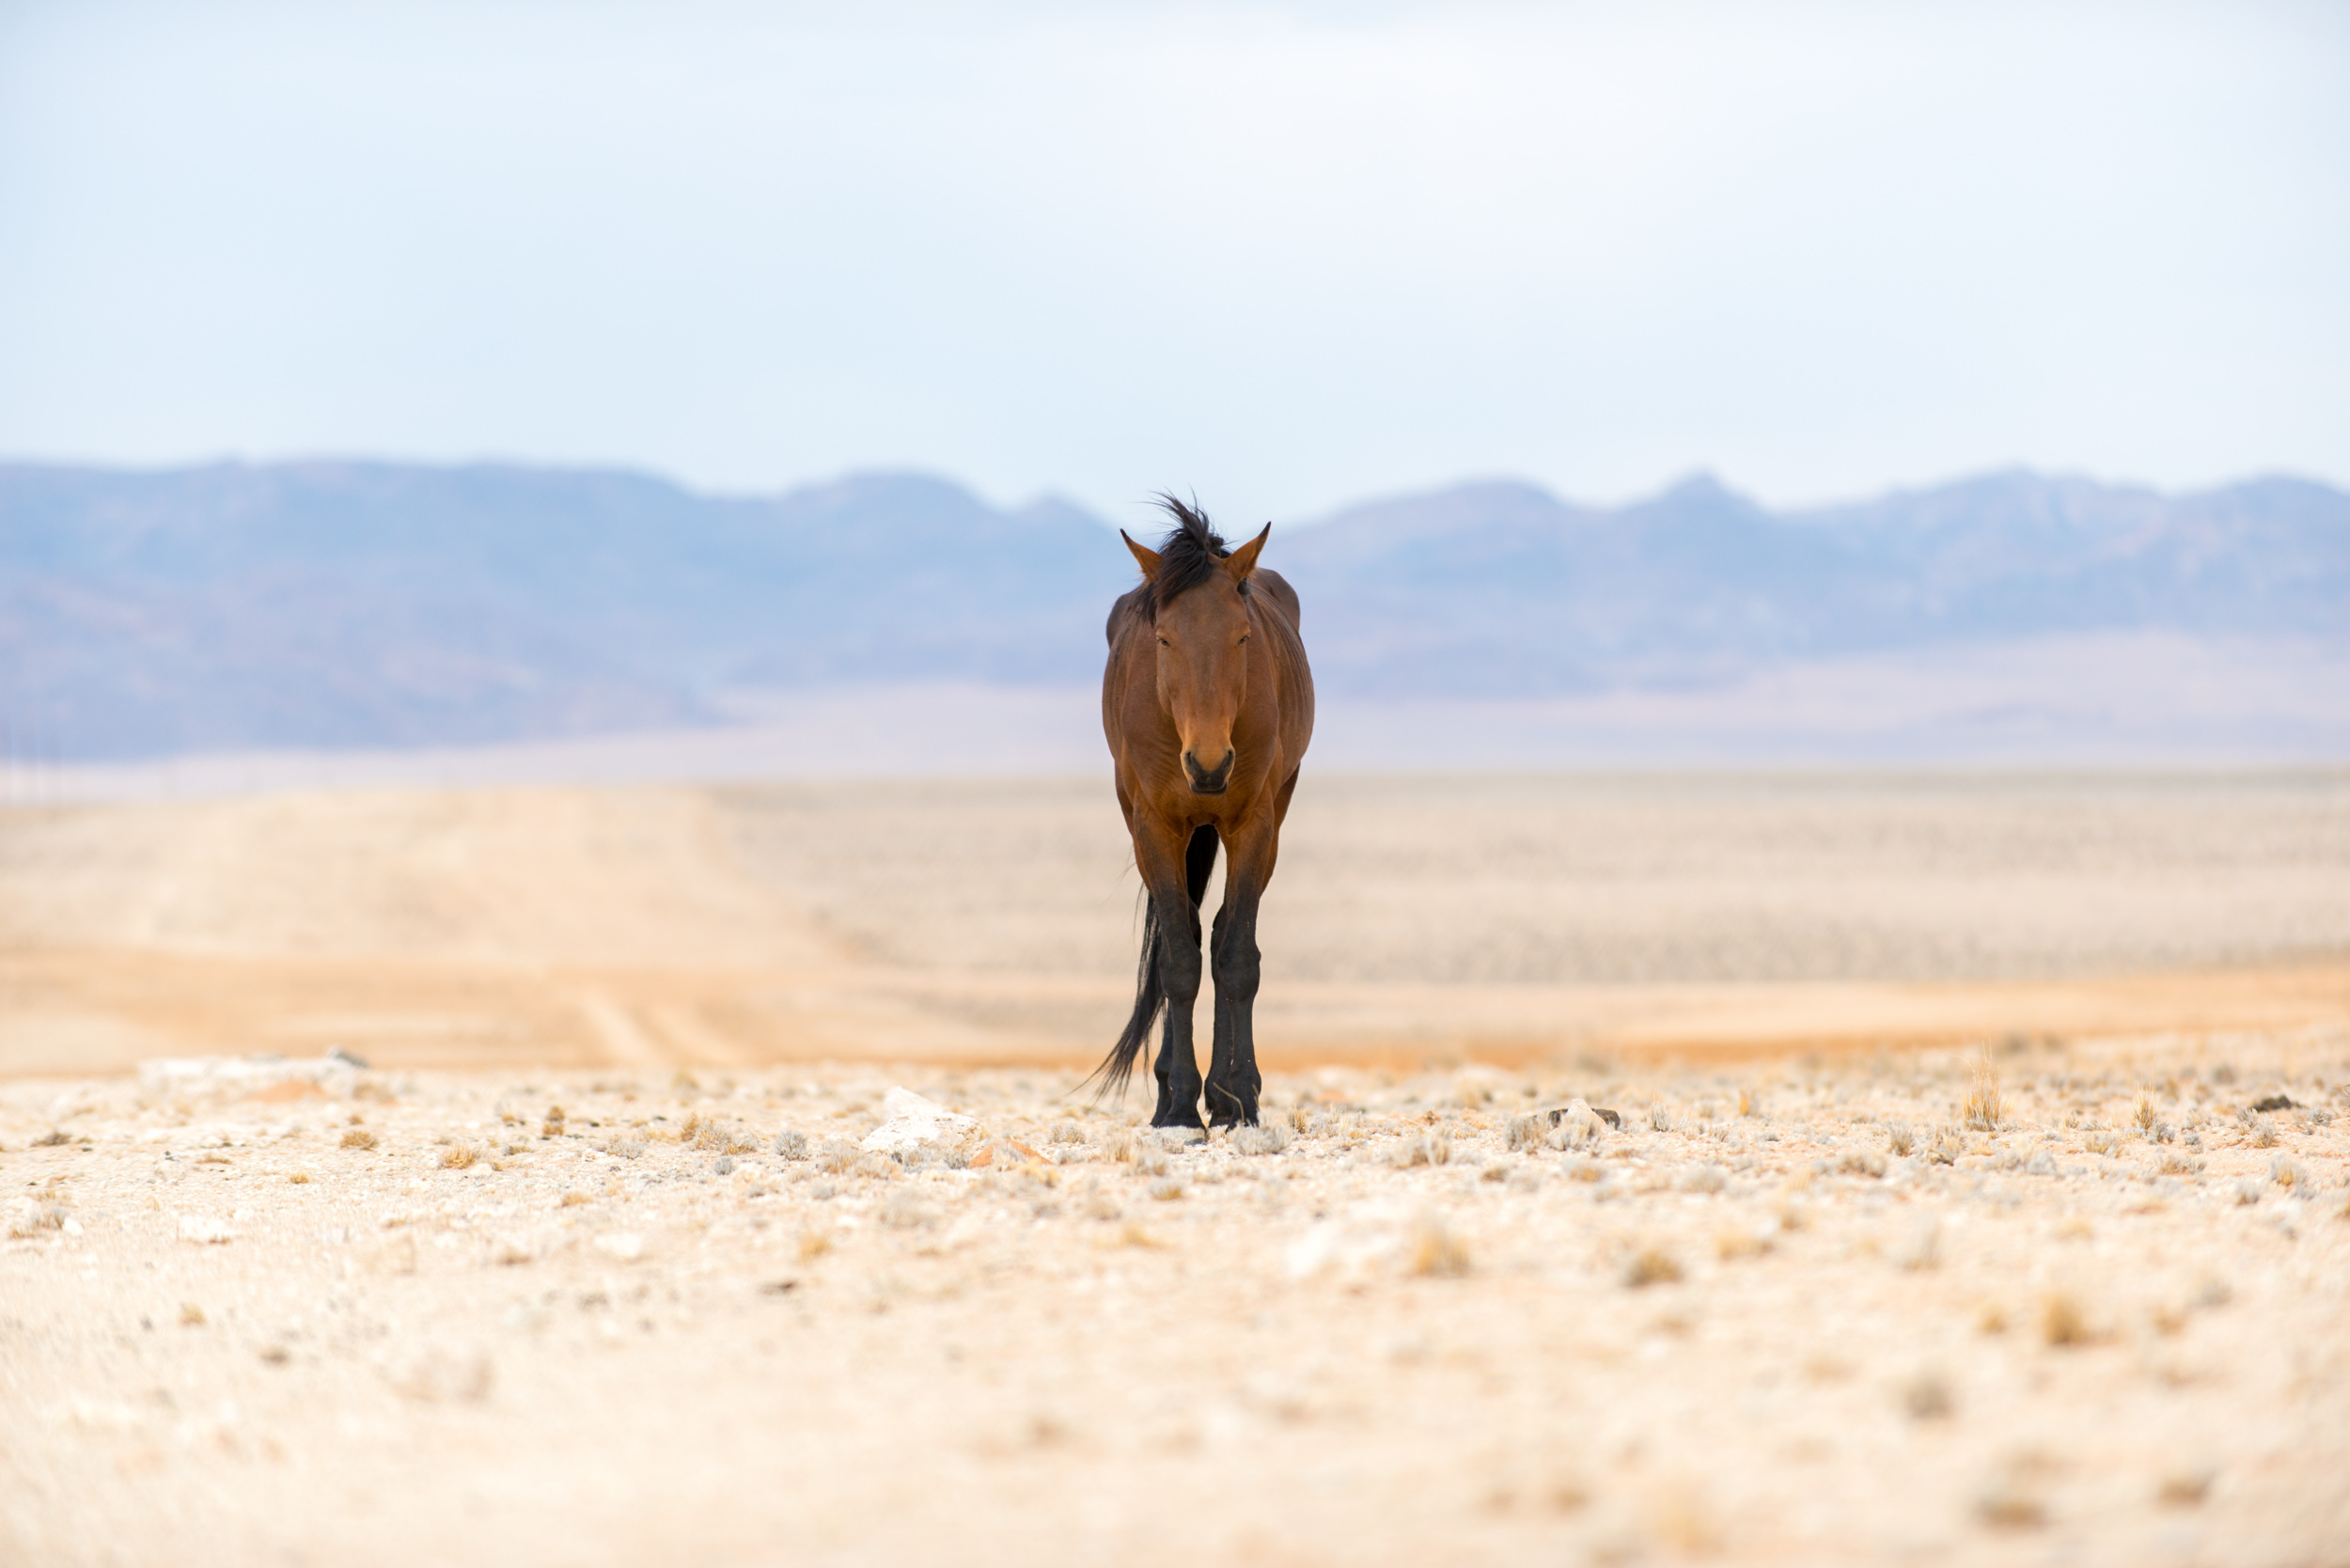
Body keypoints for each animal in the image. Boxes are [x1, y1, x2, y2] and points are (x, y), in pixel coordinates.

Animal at [1091, 495, 1313, 1129]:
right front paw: (1180, 1109)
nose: (1209, 765)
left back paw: (1224, 1094)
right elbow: (1178, 962)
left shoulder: (1254, 825)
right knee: (1184, 936)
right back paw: (1176, 1090)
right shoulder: (1155, 827)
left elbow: (1235, 958)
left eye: (1242, 637)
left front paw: (1237, 1097)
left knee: (1217, 939)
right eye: (1163, 639)